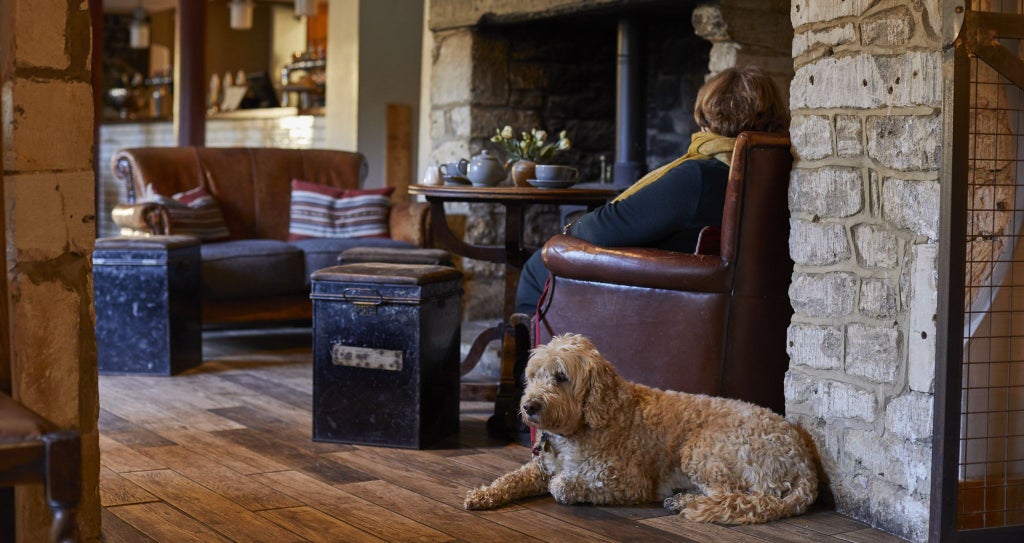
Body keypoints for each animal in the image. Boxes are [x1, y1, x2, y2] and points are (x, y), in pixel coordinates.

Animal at [468, 331, 819, 522]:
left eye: (561, 377)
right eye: (533, 375)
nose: (529, 406)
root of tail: (804, 461)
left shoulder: (627, 482)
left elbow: (563, 485)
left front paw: (566, 487)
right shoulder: (540, 467)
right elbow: (510, 479)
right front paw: (483, 494)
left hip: (703, 451)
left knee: (735, 497)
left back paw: (685, 501)